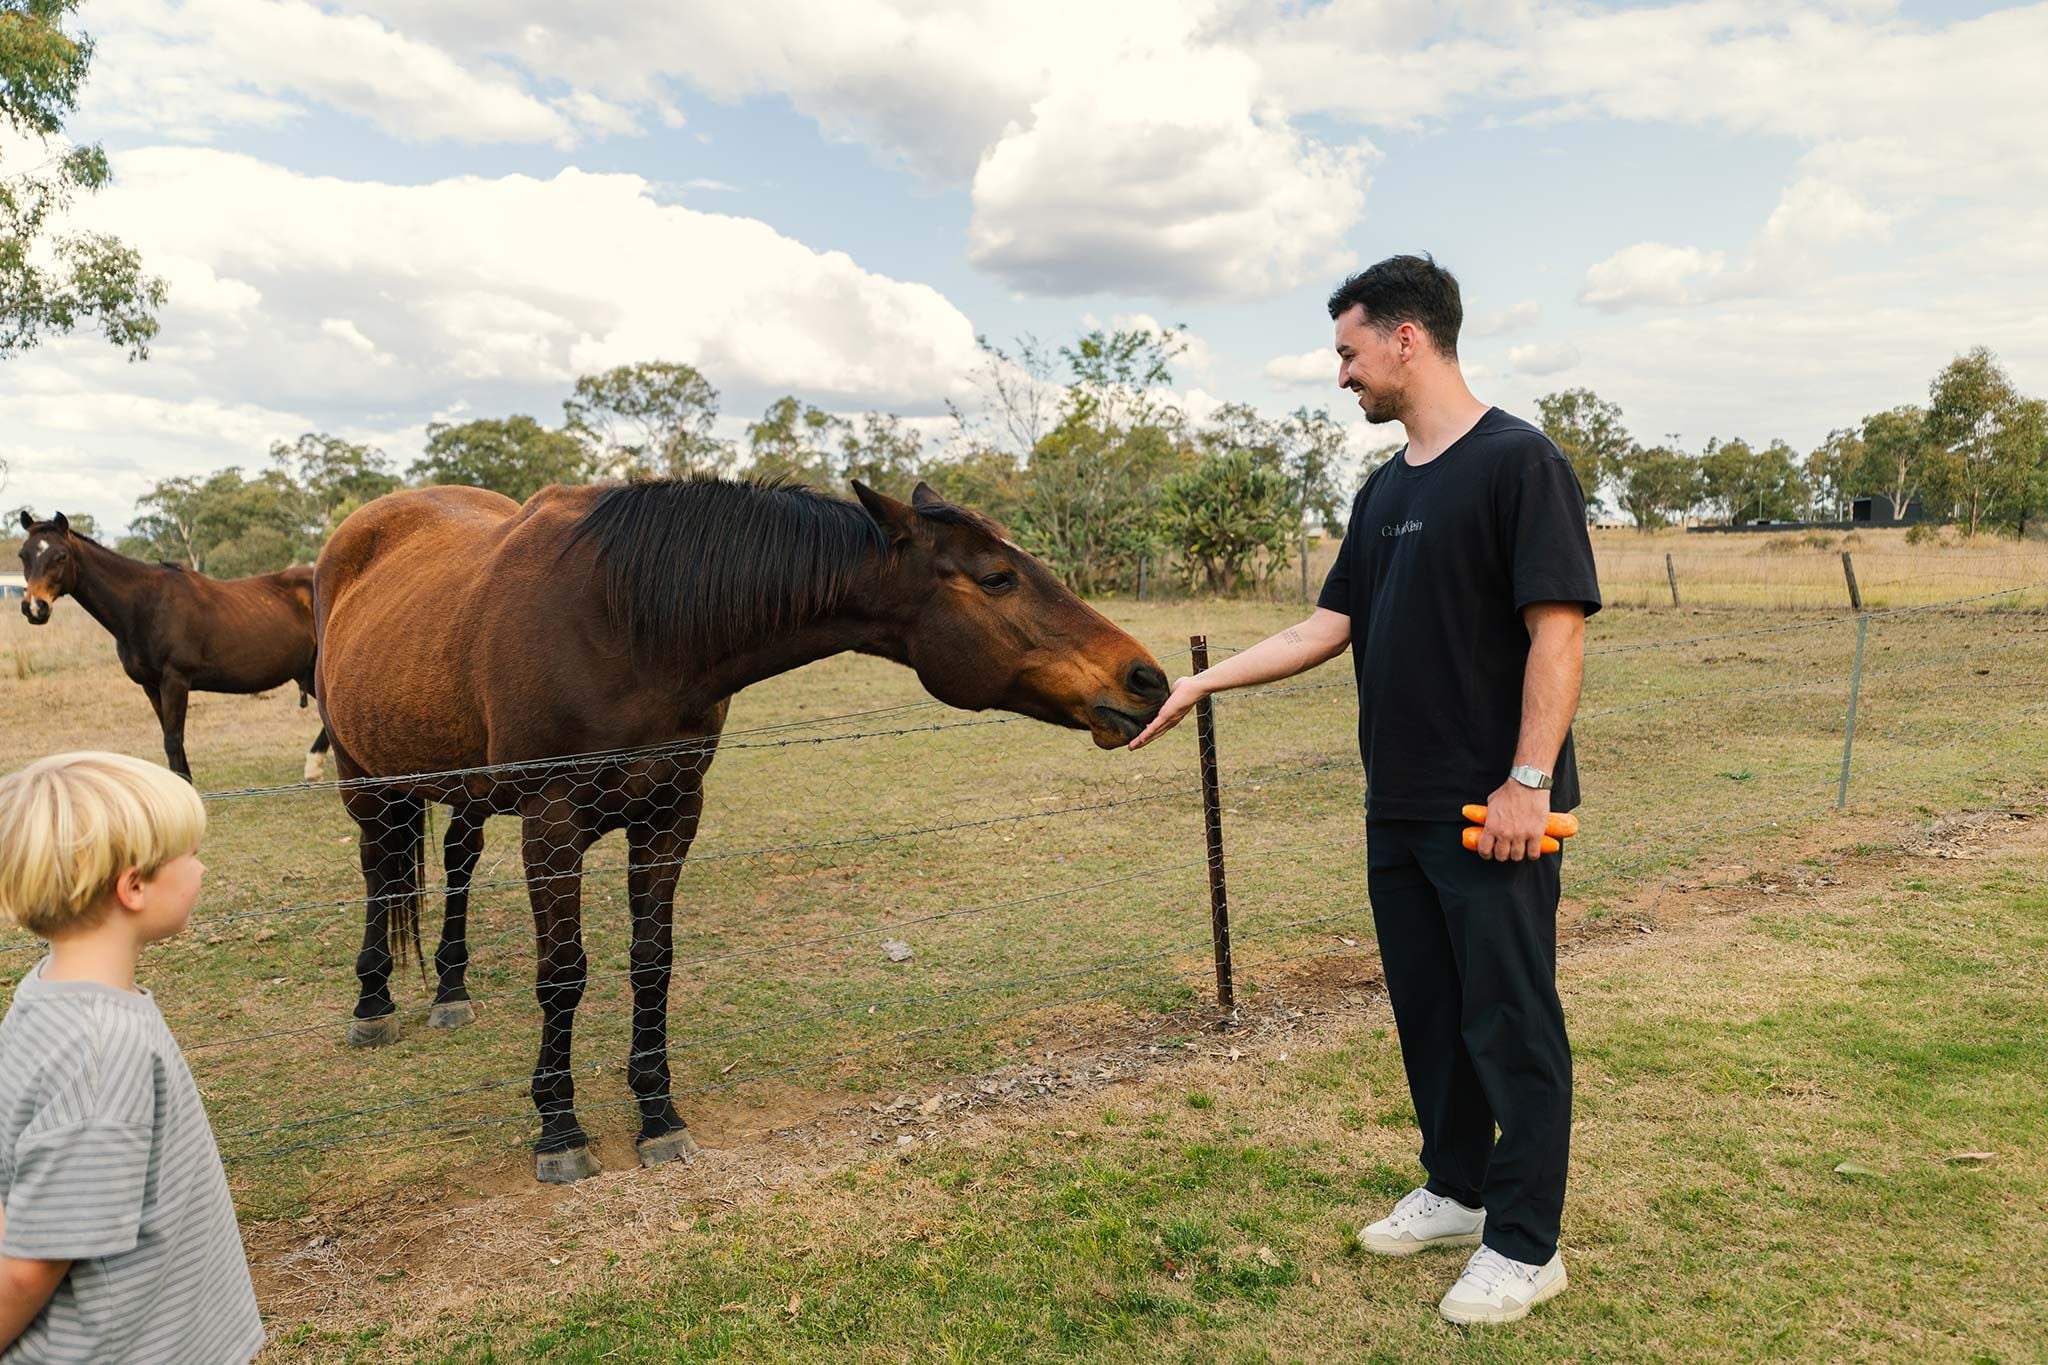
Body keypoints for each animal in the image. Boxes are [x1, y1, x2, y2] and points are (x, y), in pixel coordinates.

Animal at [17, 511, 332, 784]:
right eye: (23, 555)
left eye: (61, 556)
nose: (34, 607)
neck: (144, 605)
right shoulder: (151, 686)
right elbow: (171, 738)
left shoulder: (175, 680)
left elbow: (172, 739)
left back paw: (314, 766)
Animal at [314, 476, 1168, 1183]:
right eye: (997, 577)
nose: (1146, 678)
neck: (625, 623)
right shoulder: (552, 825)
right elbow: (562, 974)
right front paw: (559, 1131)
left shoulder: (671, 816)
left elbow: (652, 963)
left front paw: (658, 1115)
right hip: (365, 779)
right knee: (379, 872)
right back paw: (373, 1003)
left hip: (464, 786)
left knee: (455, 859)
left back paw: (450, 989)